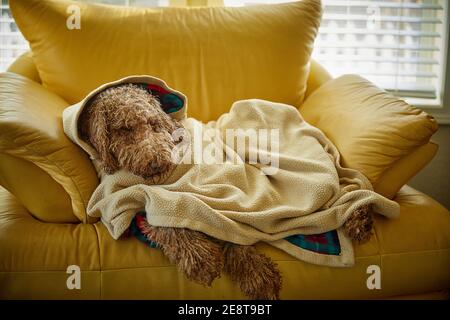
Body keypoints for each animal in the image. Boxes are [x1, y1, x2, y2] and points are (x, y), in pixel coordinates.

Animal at [78, 84, 372, 298]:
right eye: (124, 129)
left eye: (154, 124)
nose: (158, 161)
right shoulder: (131, 202)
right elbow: (169, 227)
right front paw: (201, 259)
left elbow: (231, 232)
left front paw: (256, 273)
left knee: (346, 188)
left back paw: (359, 218)